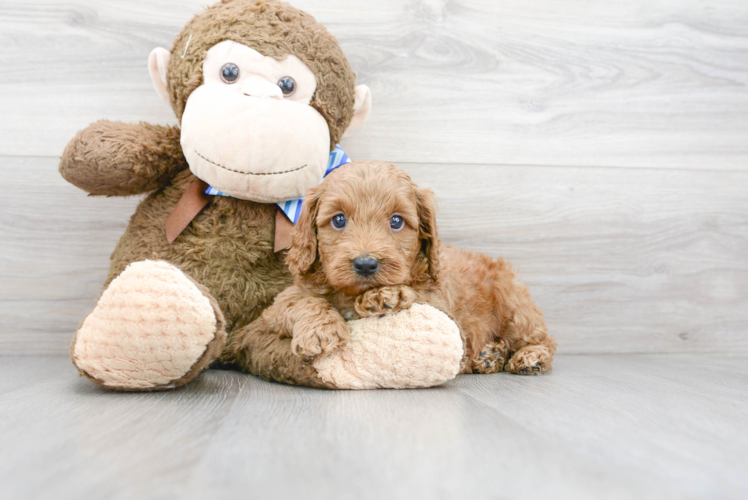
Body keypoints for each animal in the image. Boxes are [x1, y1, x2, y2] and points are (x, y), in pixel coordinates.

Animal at [234, 160, 556, 376]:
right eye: (338, 220)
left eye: (397, 221)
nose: (366, 264)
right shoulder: (278, 306)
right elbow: (301, 302)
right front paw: (320, 332)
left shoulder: (445, 311)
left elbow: (416, 295)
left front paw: (383, 295)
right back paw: (490, 356)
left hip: (513, 306)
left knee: (543, 339)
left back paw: (529, 357)